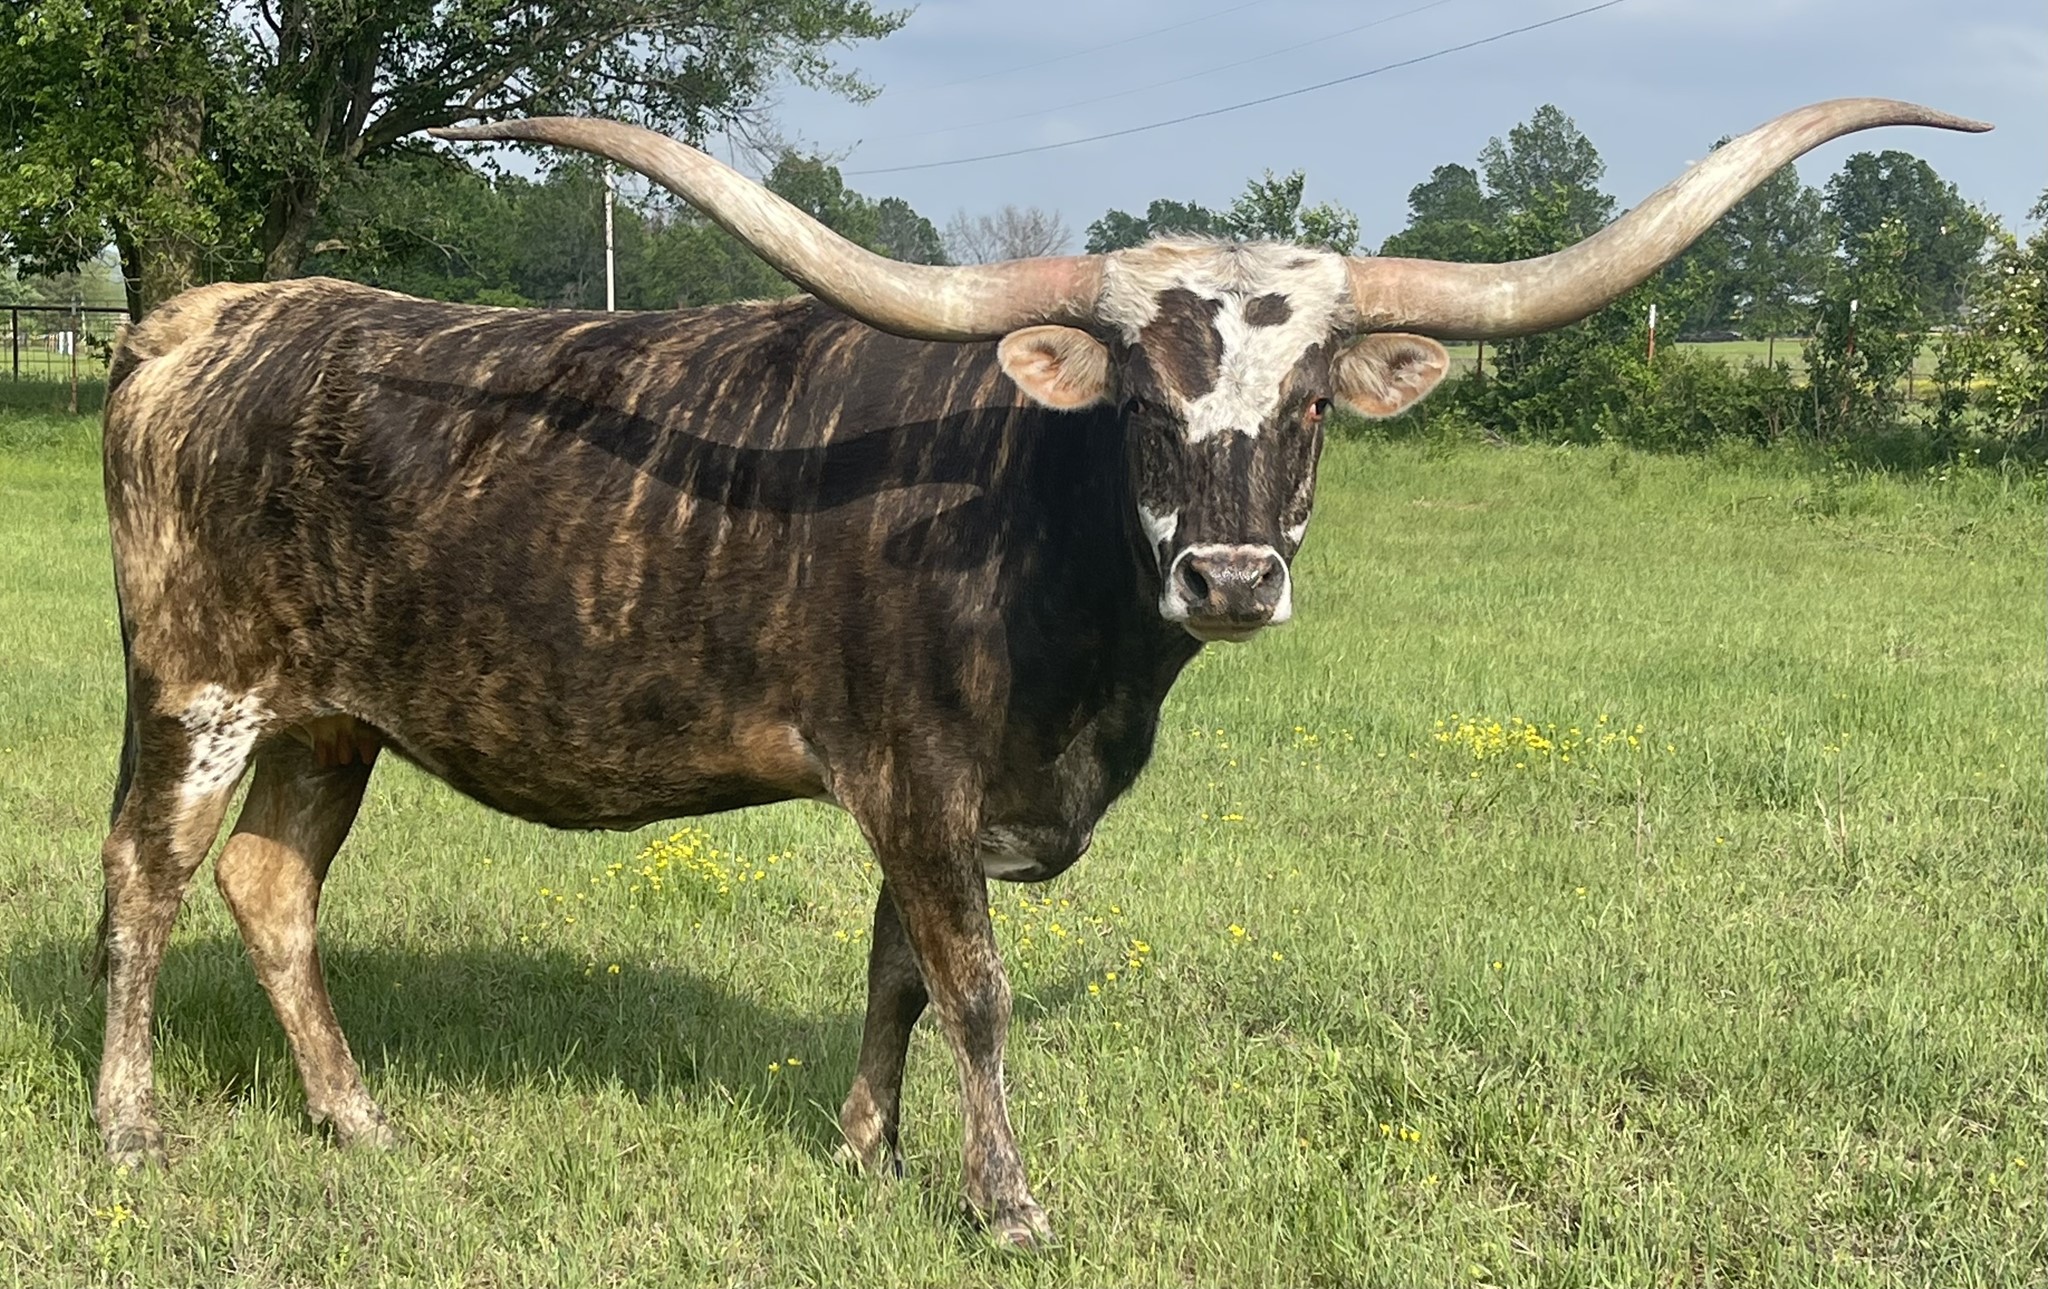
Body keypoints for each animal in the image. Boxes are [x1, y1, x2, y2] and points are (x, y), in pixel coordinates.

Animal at [93, 99, 1985, 1247]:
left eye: (1311, 405)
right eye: (1143, 401)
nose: (1230, 576)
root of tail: (207, 318)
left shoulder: (936, 794)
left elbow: (896, 981)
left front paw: (865, 1154)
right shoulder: (918, 775)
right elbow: (979, 989)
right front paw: (1005, 1204)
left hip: (333, 713)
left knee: (269, 888)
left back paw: (358, 1122)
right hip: (194, 693)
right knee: (142, 887)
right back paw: (130, 1128)